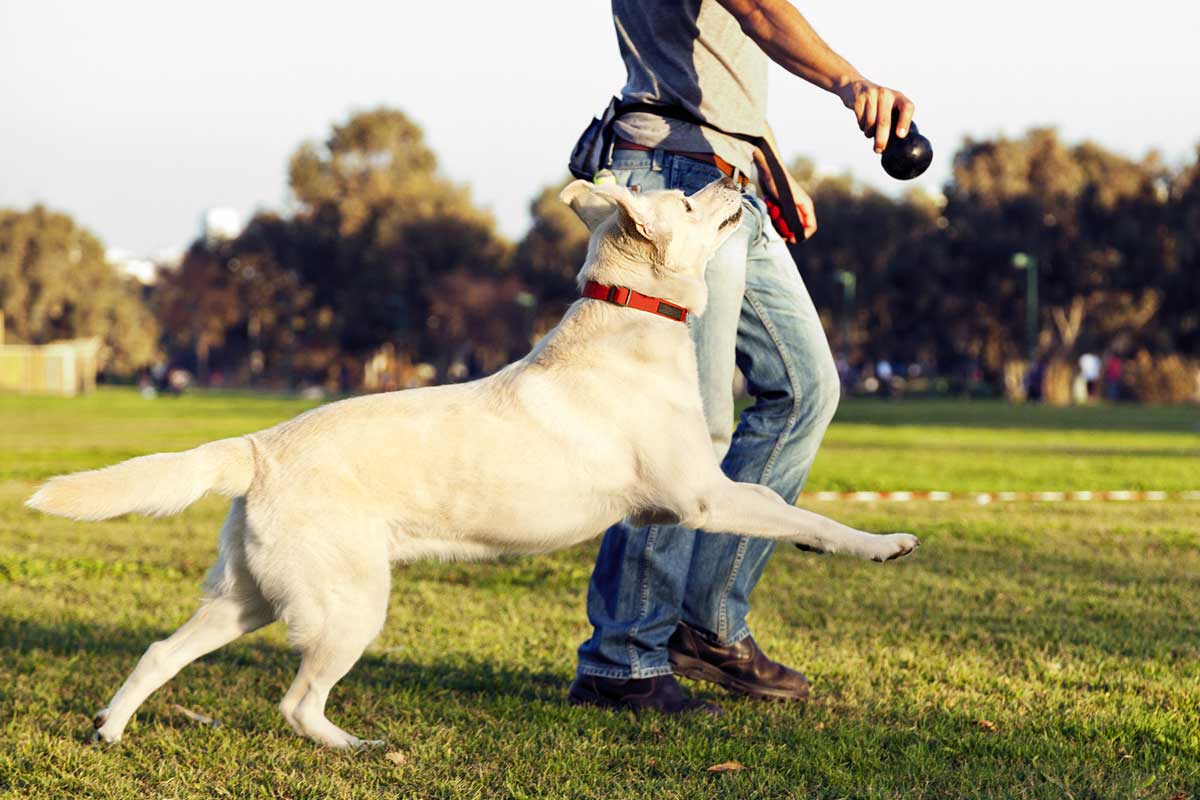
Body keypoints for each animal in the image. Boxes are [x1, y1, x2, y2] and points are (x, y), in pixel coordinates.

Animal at [32, 176, 921, 753]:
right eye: (689, 200)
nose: (736, 176)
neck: (631, 320)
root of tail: (257, 447)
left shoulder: (687, 502)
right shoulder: (703, 497)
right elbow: (801, 513)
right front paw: (881, 544)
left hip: (249, 598)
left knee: (160, 652)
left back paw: (110, 730)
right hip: (350, 605)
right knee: (295, 702)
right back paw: (357, 747)